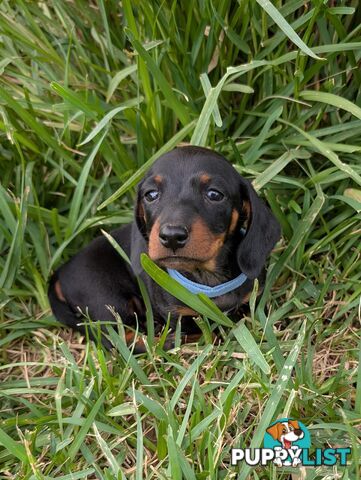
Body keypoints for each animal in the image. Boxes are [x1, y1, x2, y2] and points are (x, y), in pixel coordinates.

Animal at [47, 144, 280, 350]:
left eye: (214, 194)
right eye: (151, 194)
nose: (172, 236)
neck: (207, 279)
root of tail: (60, 273)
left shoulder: (252, 299)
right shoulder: (178, 315)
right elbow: (201, 333)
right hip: (106, 298)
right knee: (117, 340)